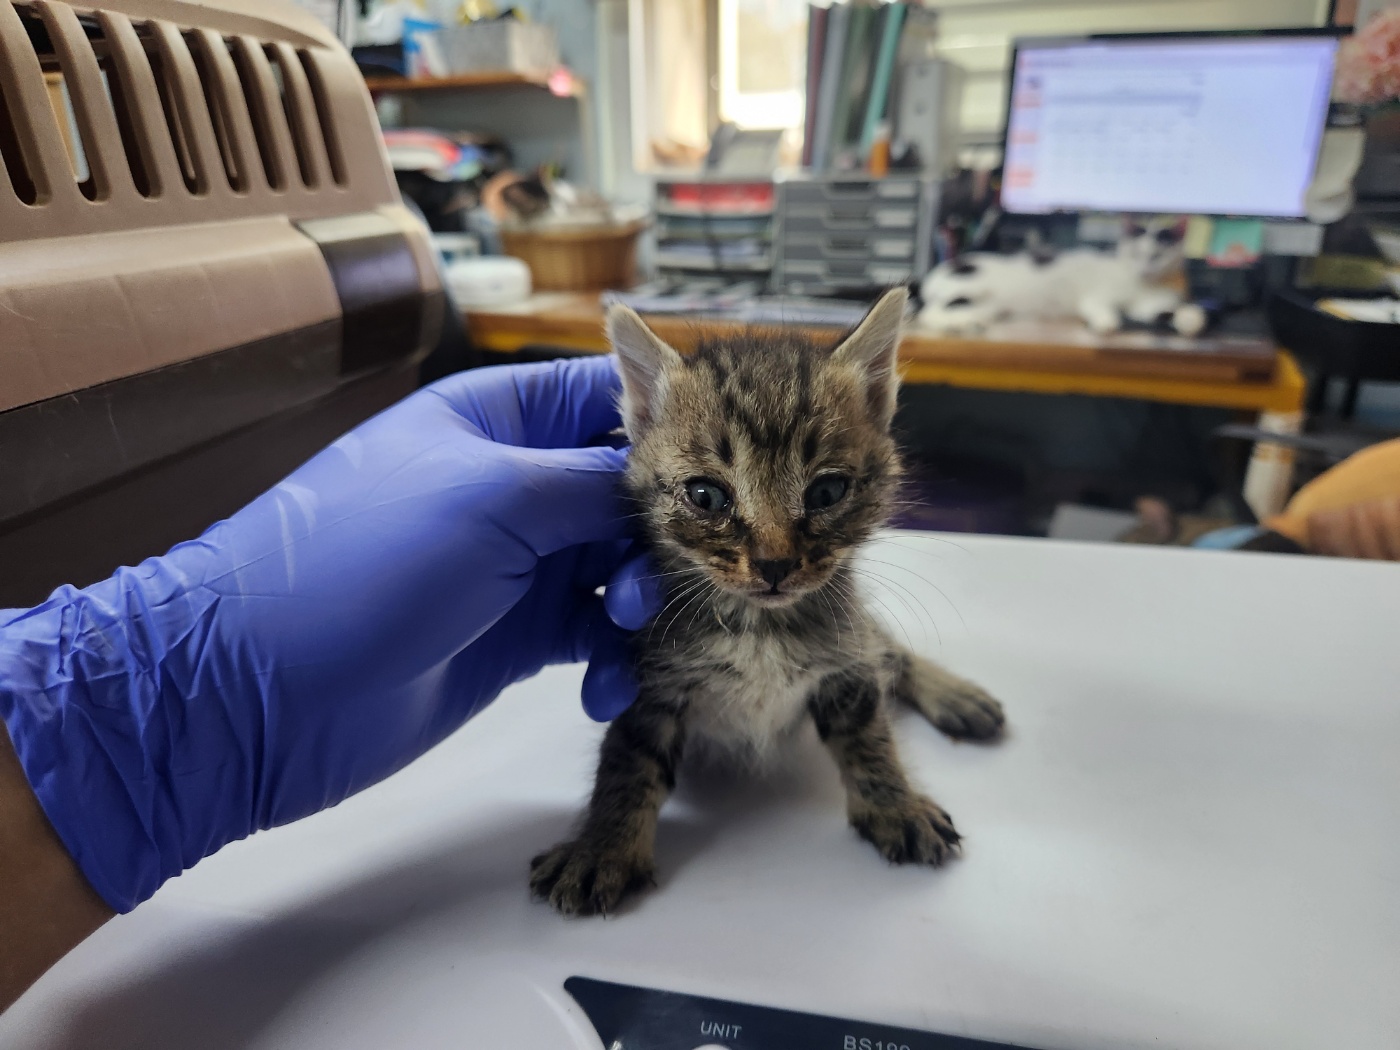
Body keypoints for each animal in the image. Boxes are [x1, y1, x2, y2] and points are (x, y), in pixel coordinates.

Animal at [526, 292, 1008, 918]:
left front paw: (895, 804)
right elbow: (626, 764)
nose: (776, 563)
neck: (760, 626)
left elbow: (871, 737)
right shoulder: (648, 682)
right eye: (706, 495)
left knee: (892, 652)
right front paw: (602, 847)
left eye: (827, 492)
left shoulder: (847, 663)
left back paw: (958, 696)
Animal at [918, 221, 1204, 337]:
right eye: (1136, 253)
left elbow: (1168, 311)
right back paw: (957, 324)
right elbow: (1100, 308)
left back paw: (969, 322)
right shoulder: (1097, 296)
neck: (1147, 285)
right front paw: (1106, 322)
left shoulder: (1149, 306)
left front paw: (1191, 319)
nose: (1145, 269)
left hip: (989, 306)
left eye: (1158, 254)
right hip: (971, 288)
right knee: (929, 312)